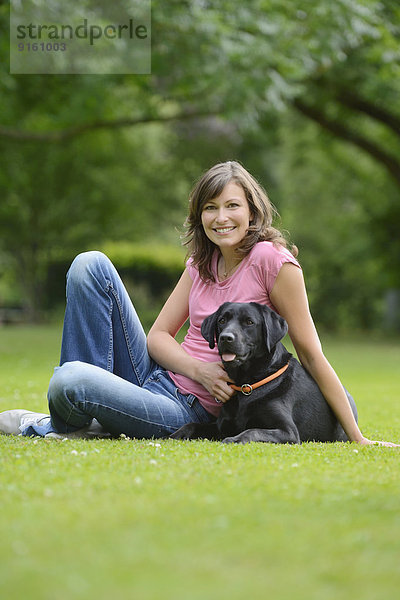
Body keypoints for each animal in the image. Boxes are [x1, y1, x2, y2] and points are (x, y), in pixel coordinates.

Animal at [170, 302, 358, 442]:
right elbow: (192, 425)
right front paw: (174, 435)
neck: (247, 384)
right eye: (222, 320)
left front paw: (234, 439)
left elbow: (253, 431)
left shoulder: (288, 432)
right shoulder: (222, 425)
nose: (225, 337)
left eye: (249, 322)